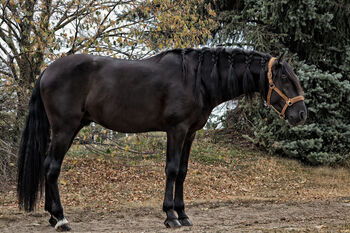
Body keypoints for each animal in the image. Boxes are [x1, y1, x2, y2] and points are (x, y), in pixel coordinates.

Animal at [17, 47, 306, 231]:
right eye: (284, 77)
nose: (301, 114)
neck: (197, 79)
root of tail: (46, 72)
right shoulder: (176, 130)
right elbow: (172, 170)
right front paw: (170, 216)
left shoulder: (190, 133)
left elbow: (183, 172)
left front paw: (183, 214)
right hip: (65, 128)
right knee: (52, 168)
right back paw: (62, 219)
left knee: (48, 167)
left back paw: (52, 217)